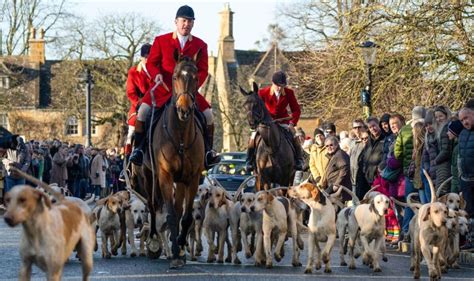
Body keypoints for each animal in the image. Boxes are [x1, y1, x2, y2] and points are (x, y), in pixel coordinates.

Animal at [140, 49, 205, 266]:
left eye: (196, 78)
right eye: (175, 77)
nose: (184, 110)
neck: (181, 135)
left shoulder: (192, 178)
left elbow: (185, 217)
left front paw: (181, 246)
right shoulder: (165, 176)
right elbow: (169, 216)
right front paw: (175, 254)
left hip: (181, 181)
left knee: (178, 210)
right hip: (148, 176)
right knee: (152, 205)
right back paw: (153, 240)